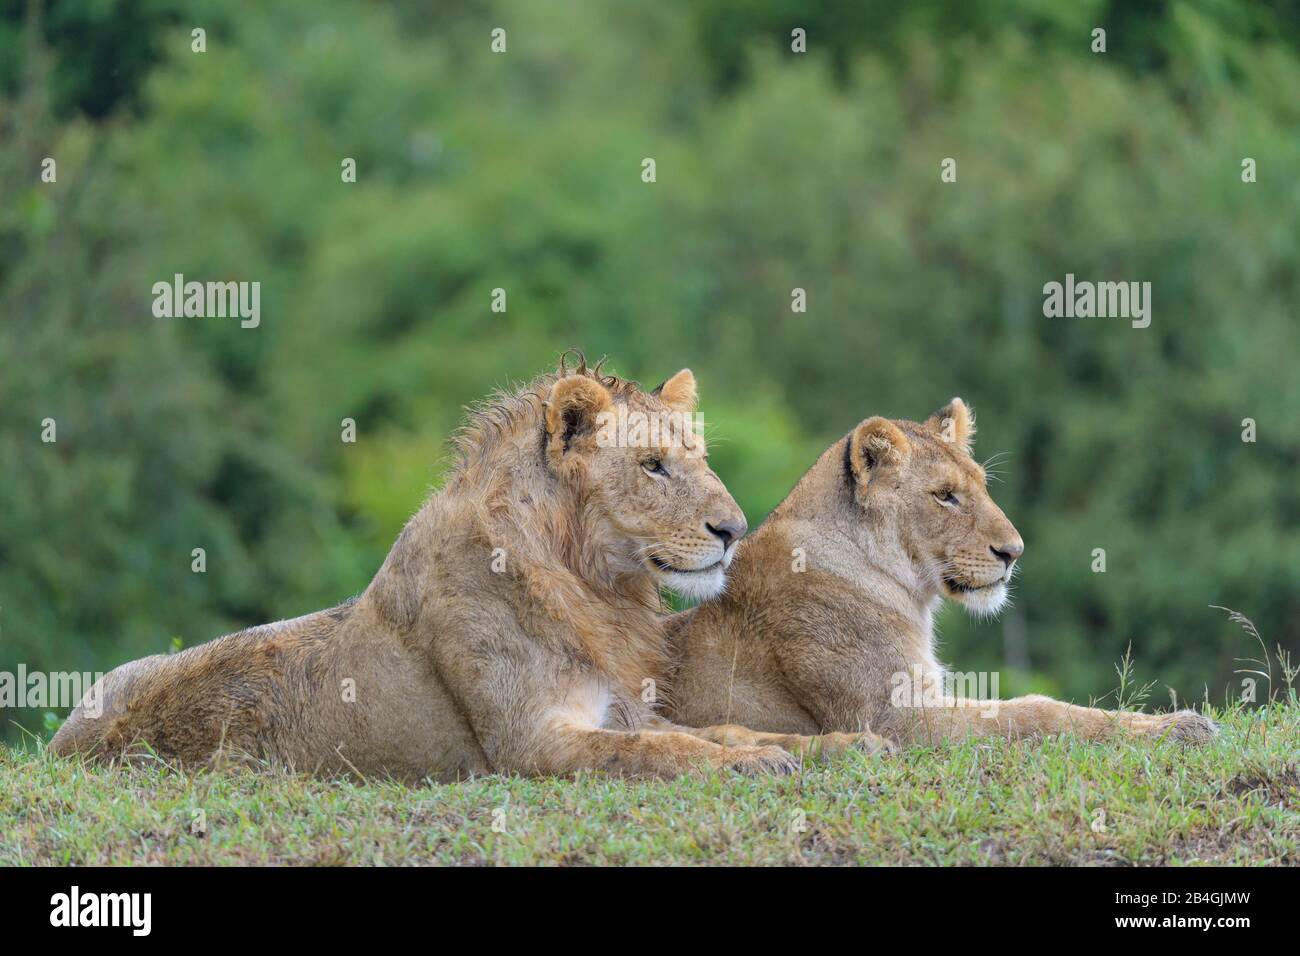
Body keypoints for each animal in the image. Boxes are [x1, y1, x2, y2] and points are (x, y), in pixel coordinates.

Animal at [51, 357, 872, 780]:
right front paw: (760, 764)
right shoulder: (532, 744)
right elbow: (663, 748)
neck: (593, 583)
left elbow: (725, 727)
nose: (733, 530)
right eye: (653, 465)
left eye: (697, 457)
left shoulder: (617, 705)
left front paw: (840, 745)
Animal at [666, 398, 1218, 748]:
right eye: (945, 496)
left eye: (981, 486)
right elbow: (1034, 710)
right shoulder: (894, 720)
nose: (1013, 552)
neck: (907, 591)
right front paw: (1181, 728)